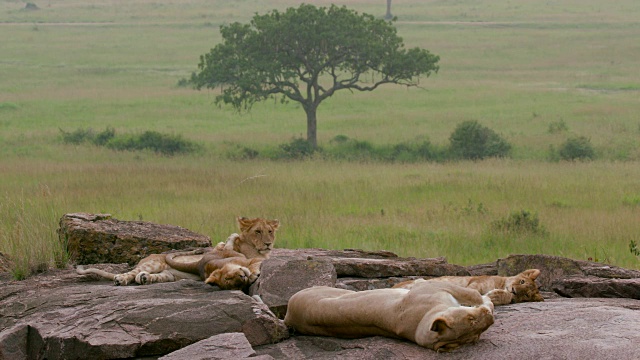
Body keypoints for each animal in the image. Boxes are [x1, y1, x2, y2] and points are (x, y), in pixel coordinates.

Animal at [284, 282, 496, 352]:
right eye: (471, 321)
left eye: (475, 337)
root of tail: (288, 316)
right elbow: (475, 295)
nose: (491, 319)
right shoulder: (433, 286)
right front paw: (488, 301)